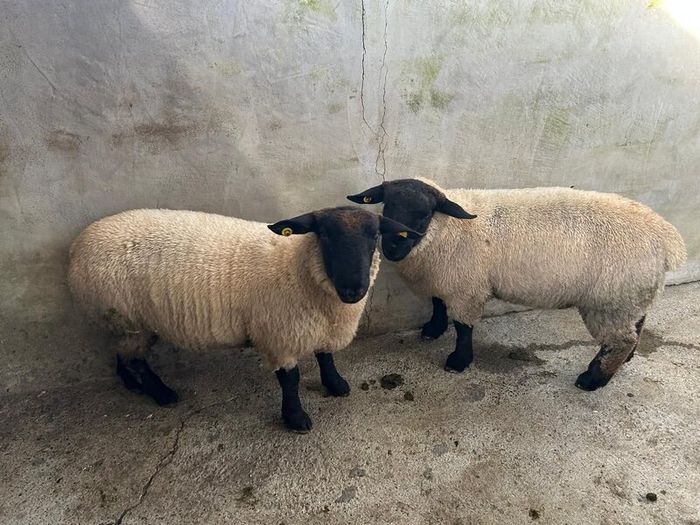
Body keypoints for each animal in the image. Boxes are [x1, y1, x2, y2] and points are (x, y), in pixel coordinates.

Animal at [68, 206, 420, 432]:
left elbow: (325, 356)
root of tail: (77, 245)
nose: (353, 290)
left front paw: (335, 385)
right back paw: (162, 394)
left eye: (374, 236)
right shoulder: (280, 334)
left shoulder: (318, 324)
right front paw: (295, 418)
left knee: (122, 352)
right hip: (127, 317)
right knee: (137, 359)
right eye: (325, 235)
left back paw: (131, 384)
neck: (297, 267)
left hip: (125, 322)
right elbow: (290, 380)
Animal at [348, 178, 686, 391]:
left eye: (424, 214)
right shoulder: (447, 279)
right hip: (630, 296)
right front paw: (433, 329)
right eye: (387, 206)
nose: (392, 248)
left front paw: (459, 360)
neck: (449, 230)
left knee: (620, 339)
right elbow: (438, 303)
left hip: (611, 299)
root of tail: (668, 240)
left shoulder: (466, 287)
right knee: (637, 325)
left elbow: (464, 327)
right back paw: (624, 360)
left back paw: (593, 380)